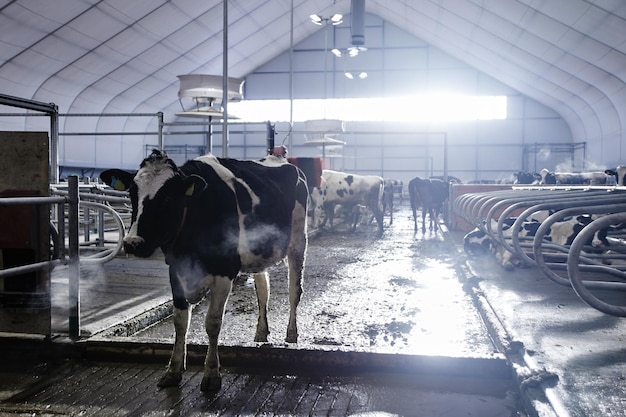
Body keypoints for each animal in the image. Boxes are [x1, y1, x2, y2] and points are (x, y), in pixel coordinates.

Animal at [98, 151, 310, 392]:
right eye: (133, 194)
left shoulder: (224, 271)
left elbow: (212, 323)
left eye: (168, 197)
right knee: (263, 290)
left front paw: (211, 374)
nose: (133, 243)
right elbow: (180, 322)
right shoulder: (176, 271)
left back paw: (291, 336)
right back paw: (261, 334)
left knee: (294, 292)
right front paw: (173, 371)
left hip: (298, 242)